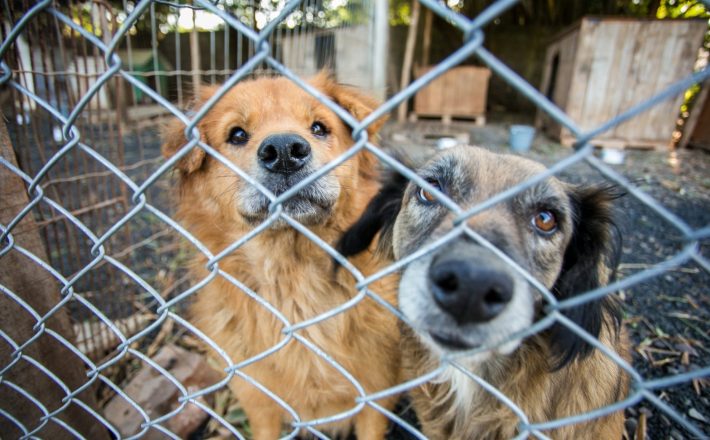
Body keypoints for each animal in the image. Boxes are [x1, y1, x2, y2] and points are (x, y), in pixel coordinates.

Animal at [163, 74, 404, 438]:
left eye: (319, 127)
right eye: (237, 134)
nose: (285, 152)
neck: (294, 280)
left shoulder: (374, 399)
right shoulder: (258, 402)